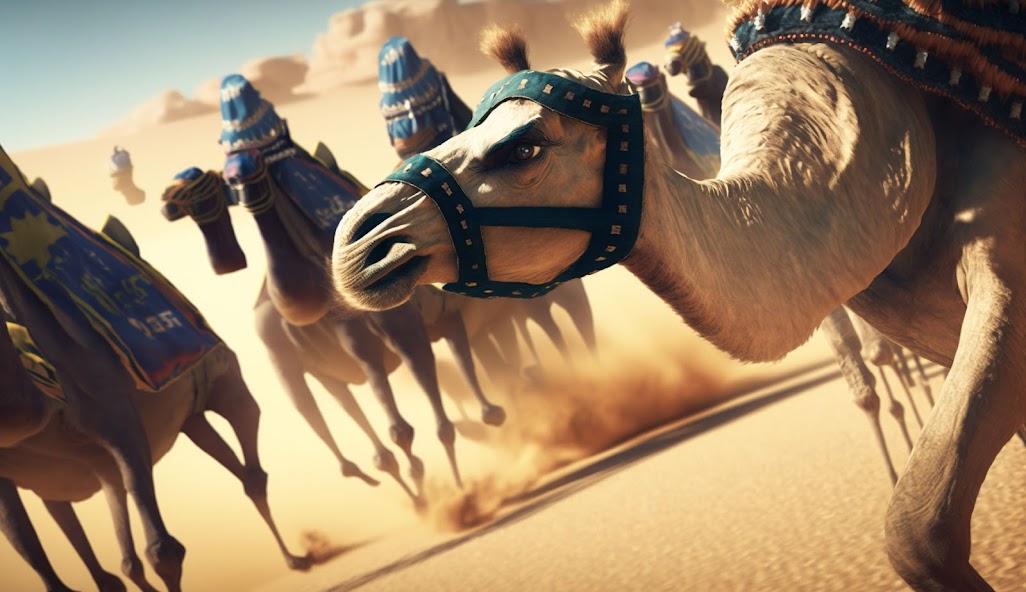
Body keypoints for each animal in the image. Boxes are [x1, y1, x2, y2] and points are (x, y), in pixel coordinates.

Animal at [0, 153, 316, 590]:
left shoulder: (120, 424)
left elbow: (163, 550)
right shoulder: (17, 476)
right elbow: (48, 570)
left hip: (222, 377)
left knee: (251, 455)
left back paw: (296, 556)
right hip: (178, 423)